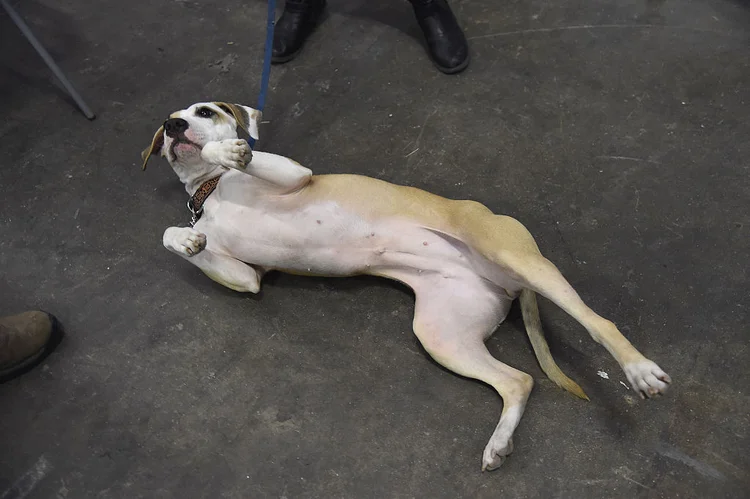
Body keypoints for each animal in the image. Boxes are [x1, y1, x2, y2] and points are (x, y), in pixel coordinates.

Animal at [144, 102, 672, 472]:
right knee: (518, 381)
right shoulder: (247, 278)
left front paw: (224, 150)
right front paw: (186, 238)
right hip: (441, 334)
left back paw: (639, 371)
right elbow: (177, 239)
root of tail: (508, 280)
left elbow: (241, 154)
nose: (173, 126)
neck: (212, 191)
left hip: (519, 260)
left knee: (598, 323)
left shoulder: (294, 175)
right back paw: (499, 443)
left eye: (205, 111)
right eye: (167, 123)